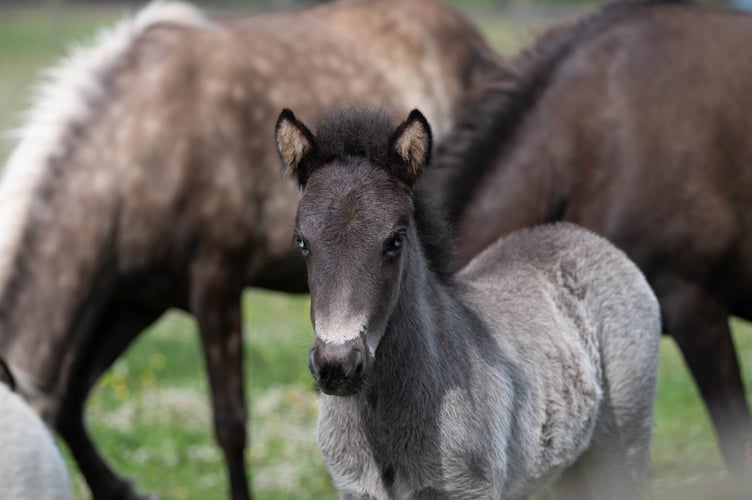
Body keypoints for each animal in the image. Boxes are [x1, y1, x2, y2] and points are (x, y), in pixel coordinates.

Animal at [275, 105, 661, 499]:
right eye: (302, 241)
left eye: (395, 240)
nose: (337, 365)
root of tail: (586, 238)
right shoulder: (354, 490)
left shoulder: (471, 488)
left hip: (624, 444)